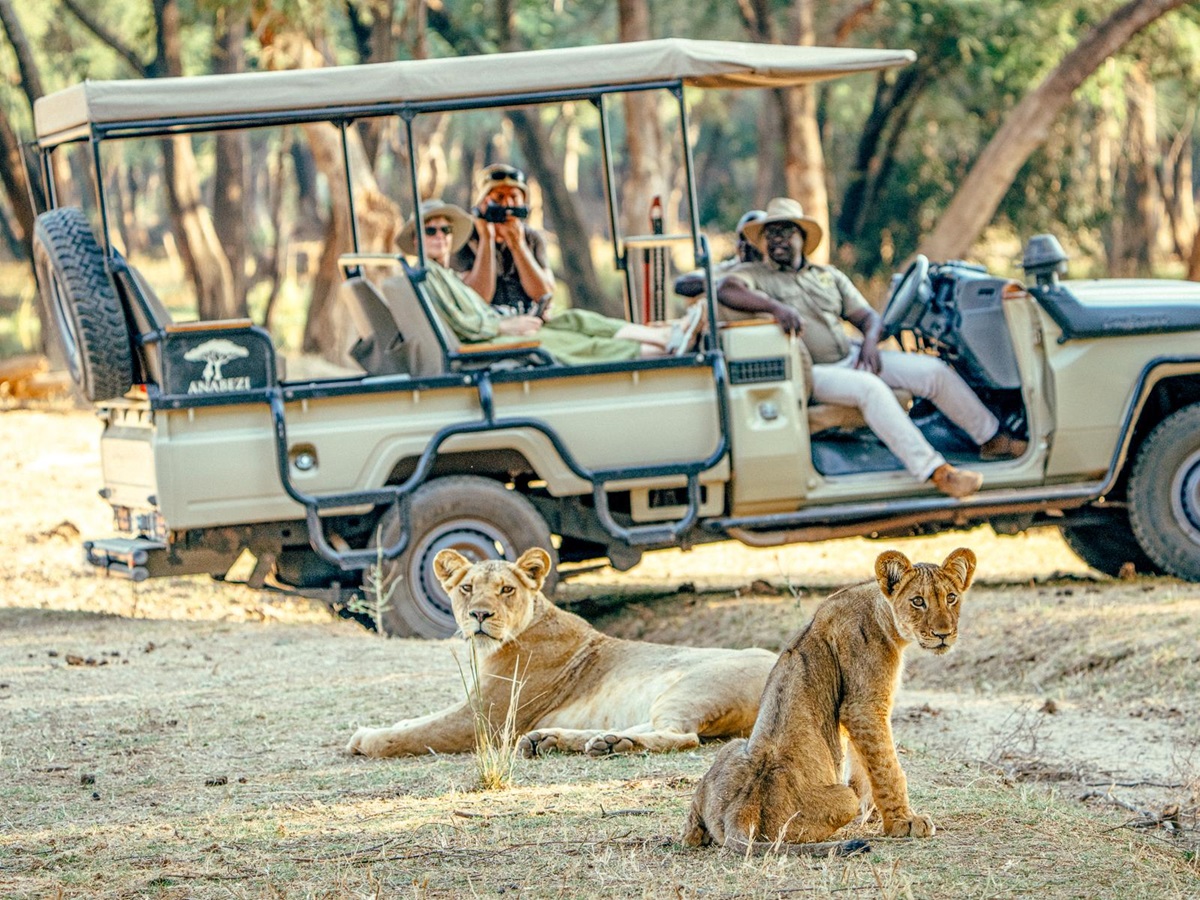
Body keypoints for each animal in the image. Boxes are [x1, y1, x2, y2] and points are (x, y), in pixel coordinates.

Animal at [346, 546, 777, 759]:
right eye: (467, 587)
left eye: (506, 589)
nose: (479, 615)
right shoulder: (474, 704)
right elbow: (419, 720)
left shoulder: (484, 719)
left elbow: (416, 734)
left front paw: (365, 738)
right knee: (652, 727)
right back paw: (566, 740)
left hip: (691, 687)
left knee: (682, 737)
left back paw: (611, 745)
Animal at [682, 547, 976, 856]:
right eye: (918, 601)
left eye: (951, 597)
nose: (944, 634)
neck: (882, 612)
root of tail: (739, 815)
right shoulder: (864, 705)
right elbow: (887, 767)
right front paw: (903, 822)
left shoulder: (856, 711)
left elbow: (864, 763)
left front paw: (873, 812)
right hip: (838, 800)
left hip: (732, 747)